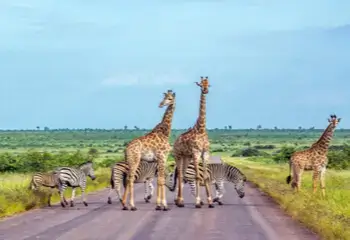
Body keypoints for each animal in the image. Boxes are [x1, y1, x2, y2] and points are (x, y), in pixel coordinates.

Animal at [172, 76, 213, 207]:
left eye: (208, 84)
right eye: (200, 84)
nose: (205, 90)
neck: (201, 129)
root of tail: (175, 142)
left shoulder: (205, 153)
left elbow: (205, 176)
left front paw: (210, 201)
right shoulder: (196, 153)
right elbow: (197, 177)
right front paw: (198, 201)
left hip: (186, 157)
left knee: (183, 174)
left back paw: (178, 200)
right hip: (178, 156)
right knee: (180, 175)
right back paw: (179, 200)